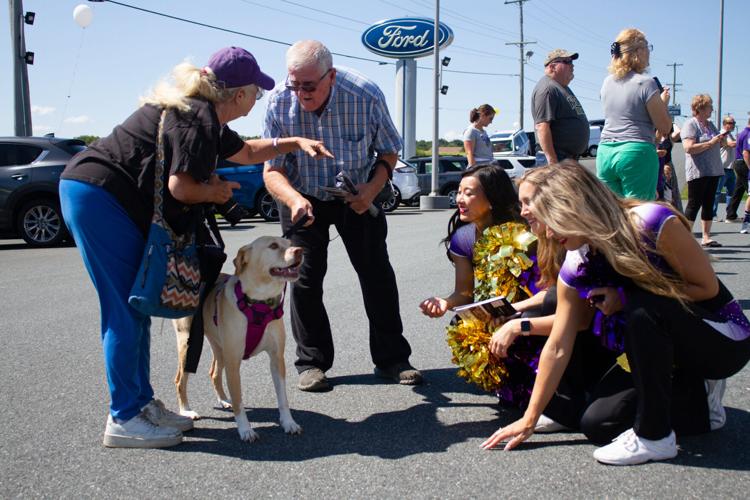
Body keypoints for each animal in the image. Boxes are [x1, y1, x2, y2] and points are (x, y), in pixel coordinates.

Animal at [175, 235, 304, 442]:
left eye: (290, 244)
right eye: (273, 246)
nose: (300, 251)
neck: (258, 304)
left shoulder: (277, 359)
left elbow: (282, 397)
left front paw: (288, 423)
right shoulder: (233, 362)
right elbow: (239, 400)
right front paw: (245, 430)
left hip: (220, 349)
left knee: (214, 372)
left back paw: (223, 400)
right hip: (188, 346)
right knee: (179, 379)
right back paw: (186, 410)